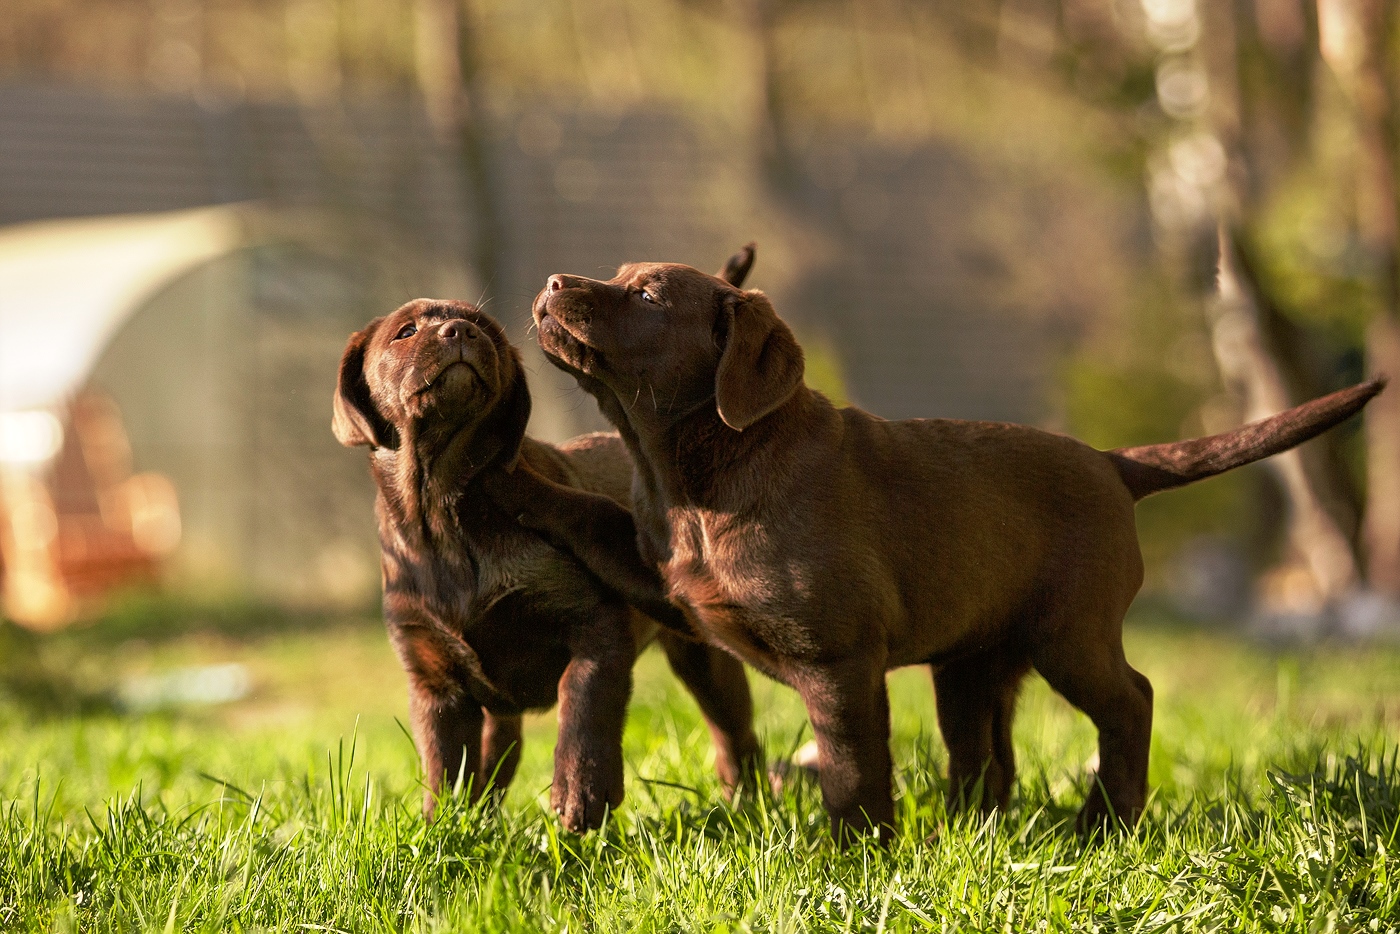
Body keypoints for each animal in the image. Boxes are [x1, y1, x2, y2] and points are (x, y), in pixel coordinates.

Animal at [333, 294, 761, 834]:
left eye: (487, 331)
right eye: (406, 332)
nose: (460, 332)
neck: (445, 506)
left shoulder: (597, 622)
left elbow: (584, 698)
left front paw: (580, 791)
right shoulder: (434, 679)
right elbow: (444, 765)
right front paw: (443, 829)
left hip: (704, 661)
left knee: (735, 736)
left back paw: (748, 805)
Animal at [509, 259, 1383, 845]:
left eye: (648, 295)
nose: (552, 281)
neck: (700, 472)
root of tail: (1114, 463)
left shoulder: (837, 660)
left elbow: (851, 770)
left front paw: (854, 858)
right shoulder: (665, 580)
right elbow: (588, 515)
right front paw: (509, 476)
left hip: (1069, 632)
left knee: (1130, 701)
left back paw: (1103, 824)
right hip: (971, 661)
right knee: (986, 757)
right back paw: (969, 835)